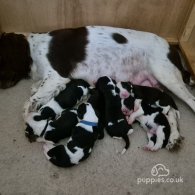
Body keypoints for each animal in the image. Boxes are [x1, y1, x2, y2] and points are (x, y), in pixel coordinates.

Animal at [0, 26, 194, 148]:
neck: (32, 49)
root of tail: (172, 48)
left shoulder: (56, 76)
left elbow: (28, 104)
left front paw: (31, 125)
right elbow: (35, 92)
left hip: (166, 75)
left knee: (189, 101)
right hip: (157, 88)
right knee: (171, 112)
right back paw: (174, 138)